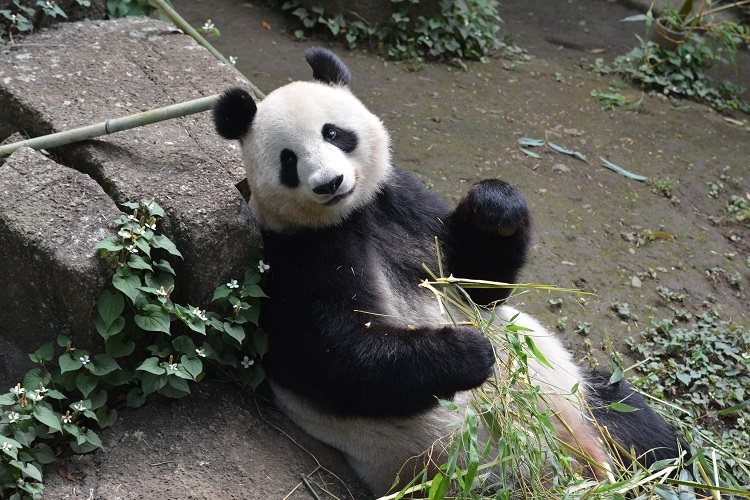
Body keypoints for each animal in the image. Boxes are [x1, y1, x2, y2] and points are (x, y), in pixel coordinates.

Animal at [213, 47, 688, 496]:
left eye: (333, 133)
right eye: (289, 160)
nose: (330, 183)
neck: (348, 216)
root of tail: (581, 462)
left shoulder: (401, 204)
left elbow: (478, 285)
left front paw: (496, 206)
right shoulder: (296, 259)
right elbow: (342, 356)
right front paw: (471, 352)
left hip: (575, 393)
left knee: (638, 424)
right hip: (473, 472)